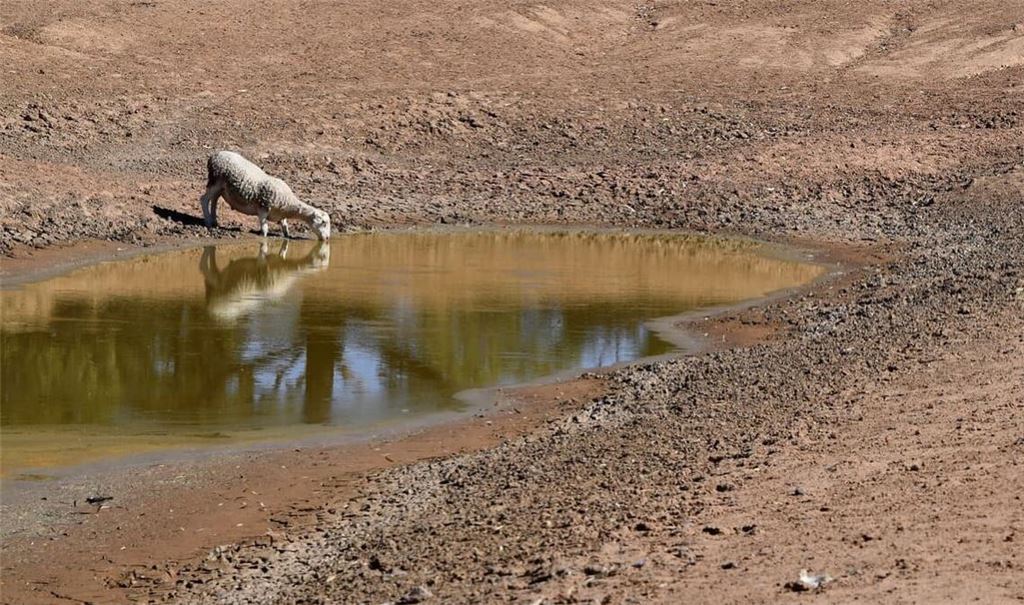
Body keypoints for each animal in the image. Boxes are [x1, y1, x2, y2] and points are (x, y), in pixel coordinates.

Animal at [200, 150, 331, 240]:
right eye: (324, 223)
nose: (327, 239)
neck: (289, 203)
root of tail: (215, 155)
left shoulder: (280, 214)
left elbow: (285, 226)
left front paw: (287, 236)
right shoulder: (263, 207)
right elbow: (265, 229)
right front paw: (263, 237)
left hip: (220, 186)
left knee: (214, 199)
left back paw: (214, 220)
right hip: (216, 181)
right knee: (204, 199)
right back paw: (208, 221)